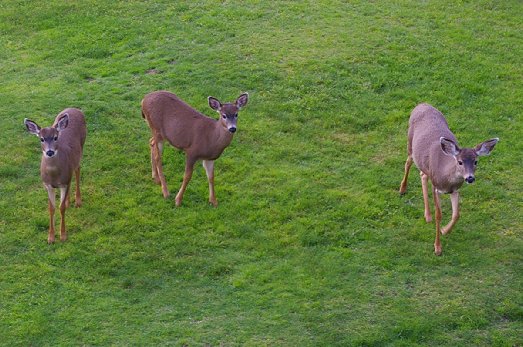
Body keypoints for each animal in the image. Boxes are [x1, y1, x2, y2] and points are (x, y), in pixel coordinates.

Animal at [25, 109, 87, 245]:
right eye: (41, 139)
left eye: (55, 137)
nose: (50, 152)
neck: (54, 175)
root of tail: (75, 108)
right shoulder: (47, 185)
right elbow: (51, 208)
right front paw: (51, 237)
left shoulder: (64, 182)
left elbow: (61, 208)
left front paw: (63, 235)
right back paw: (69, 201)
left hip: (81, 148)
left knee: (77, 171)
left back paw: (78, 200)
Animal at [402, 103, 500, 256]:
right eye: (459, 162)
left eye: (476, 161)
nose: (470, 178)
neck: (446, 179)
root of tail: (422, 104)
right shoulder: (436, 187)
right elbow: (439, 215)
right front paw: (437, 248)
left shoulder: (455, 190)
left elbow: (456, 214)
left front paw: (444, 230)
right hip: (410, 143)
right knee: (407, 163)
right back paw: (402, 189)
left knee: (422, 174)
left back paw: (427, 215)